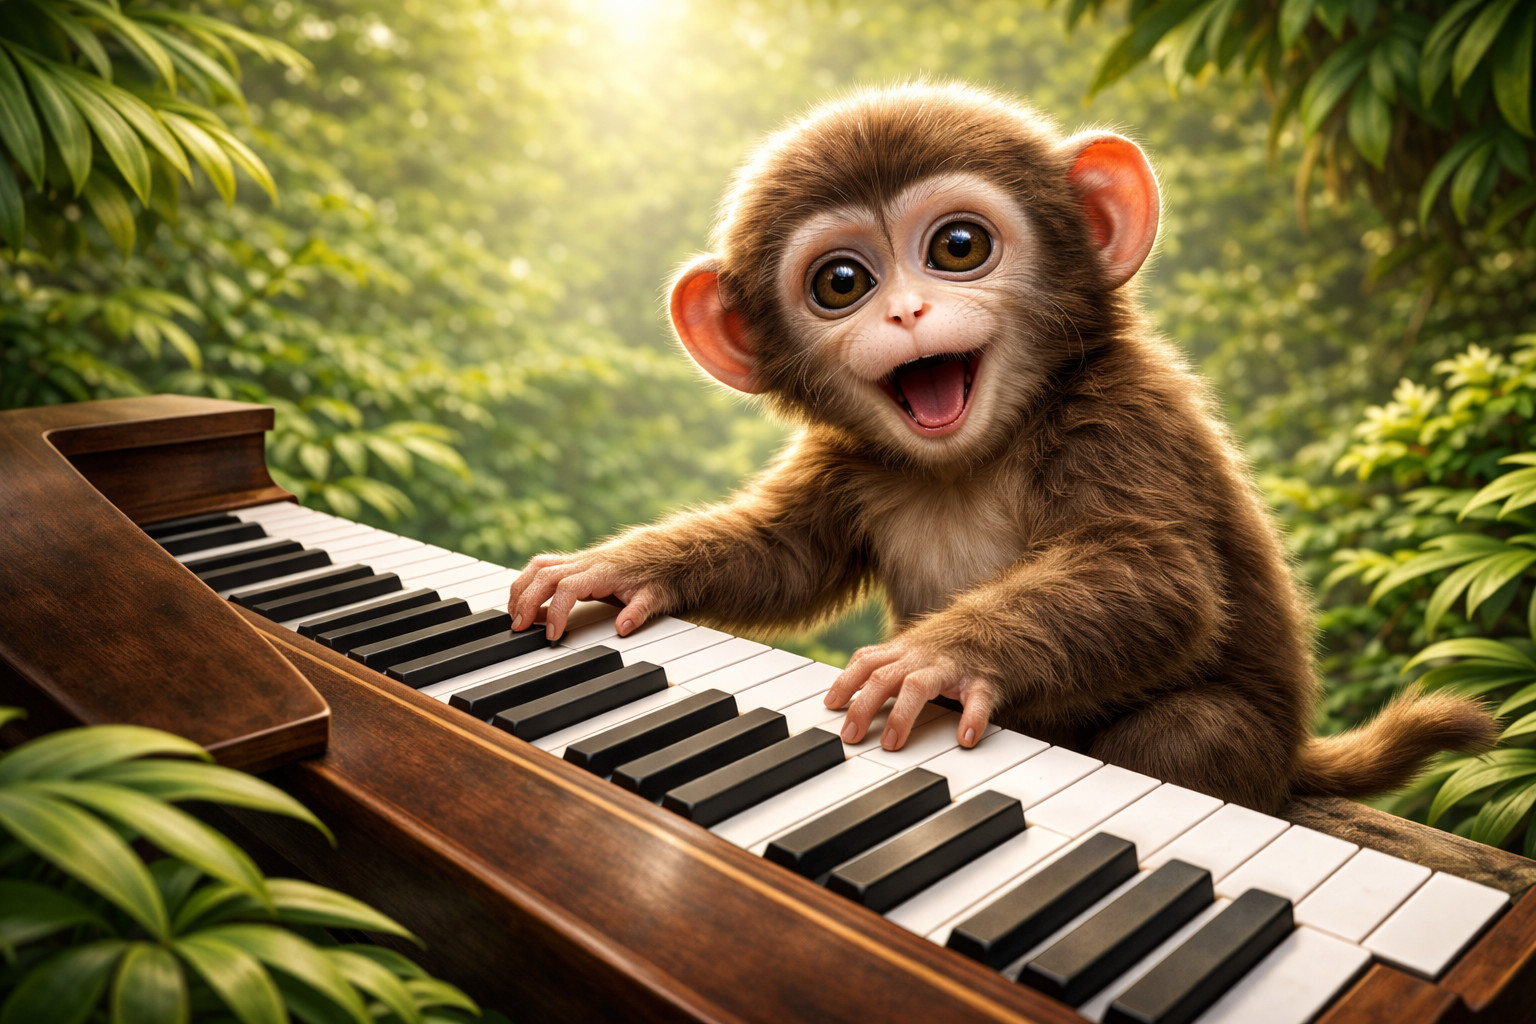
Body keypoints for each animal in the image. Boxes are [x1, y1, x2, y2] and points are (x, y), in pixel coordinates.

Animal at [506, 82, 1495, 814]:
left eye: (957, 246)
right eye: (842, 283)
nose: (906, 312)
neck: (974, 456)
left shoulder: (1121, 412)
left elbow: (1153, 574)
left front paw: (940, 660)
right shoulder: (844, 458)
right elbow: (784, 556)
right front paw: (619, 568)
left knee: (1192, 732)